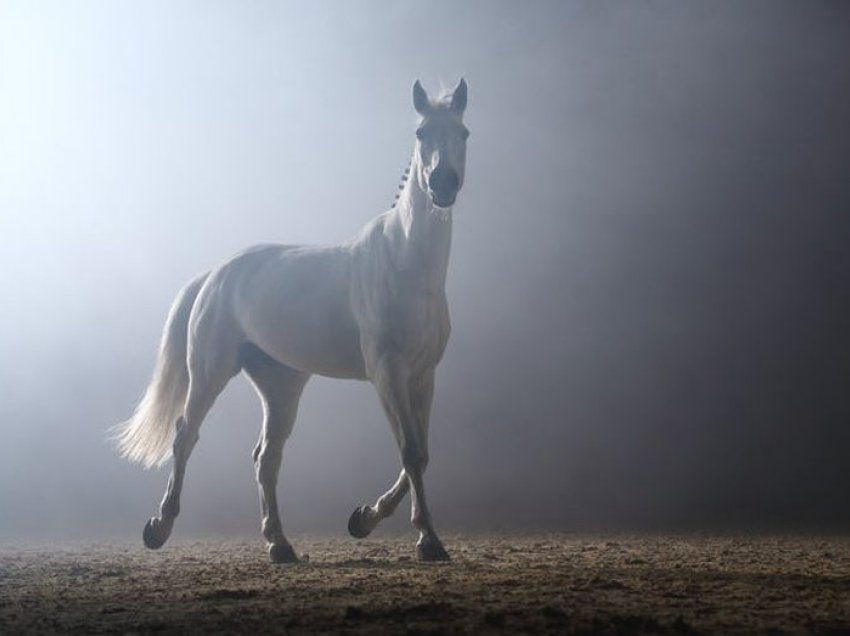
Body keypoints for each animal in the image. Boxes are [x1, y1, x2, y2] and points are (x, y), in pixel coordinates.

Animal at [113, 78, 468, 560]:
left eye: (463, 133)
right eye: (421, 133)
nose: (443, 184)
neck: (405, 265)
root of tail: (216, 273)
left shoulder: (423, 374)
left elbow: (422, 454)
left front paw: (363, 520)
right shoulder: (387, 372)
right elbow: (410, 451)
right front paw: (427, 540)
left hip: (281, 386)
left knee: (266, 458)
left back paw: (279, 544)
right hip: (209, 372)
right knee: (186, 436)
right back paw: (159, 528)